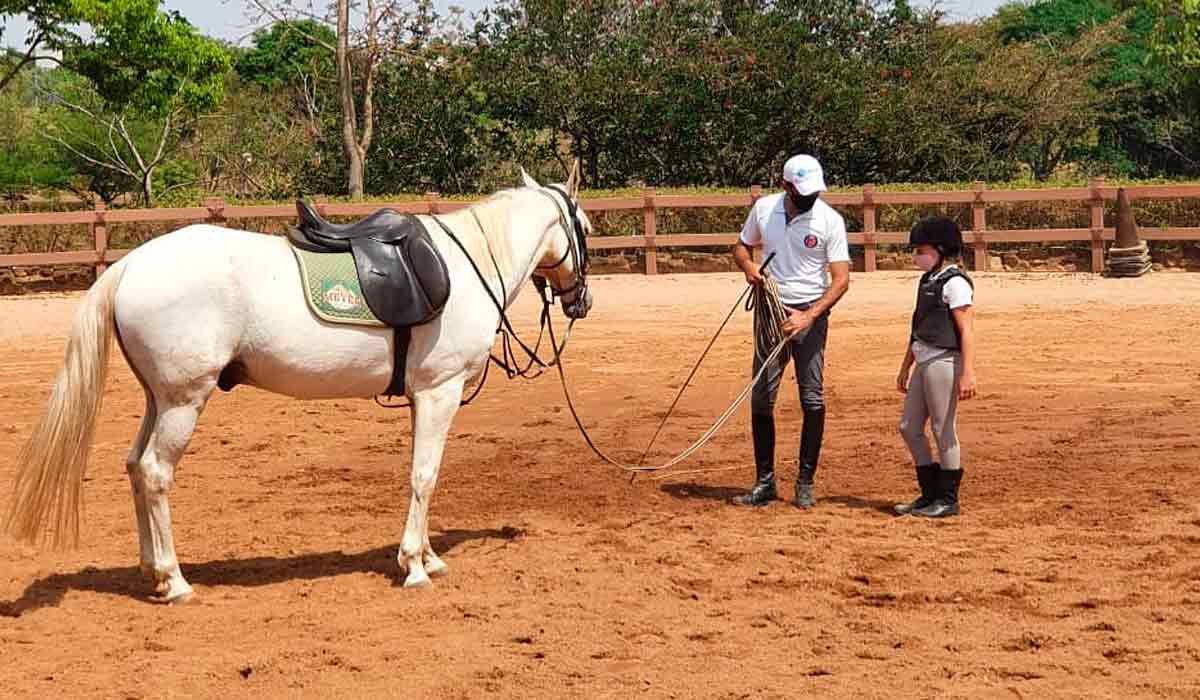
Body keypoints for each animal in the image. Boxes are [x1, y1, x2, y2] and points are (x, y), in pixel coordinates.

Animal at [3, 166, 595, 605]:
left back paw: (152, 569)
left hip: (159, 399)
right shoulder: (438, 392)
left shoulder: (420, 398)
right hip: (183, 402)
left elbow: (420, 475)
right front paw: (413, 566)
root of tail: (127, 265)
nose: (581, 302)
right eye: (585, 228)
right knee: (154, 472)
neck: (469, 265)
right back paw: (174, 580)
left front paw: (427, 555)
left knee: (132, 465)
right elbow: (425, 476)